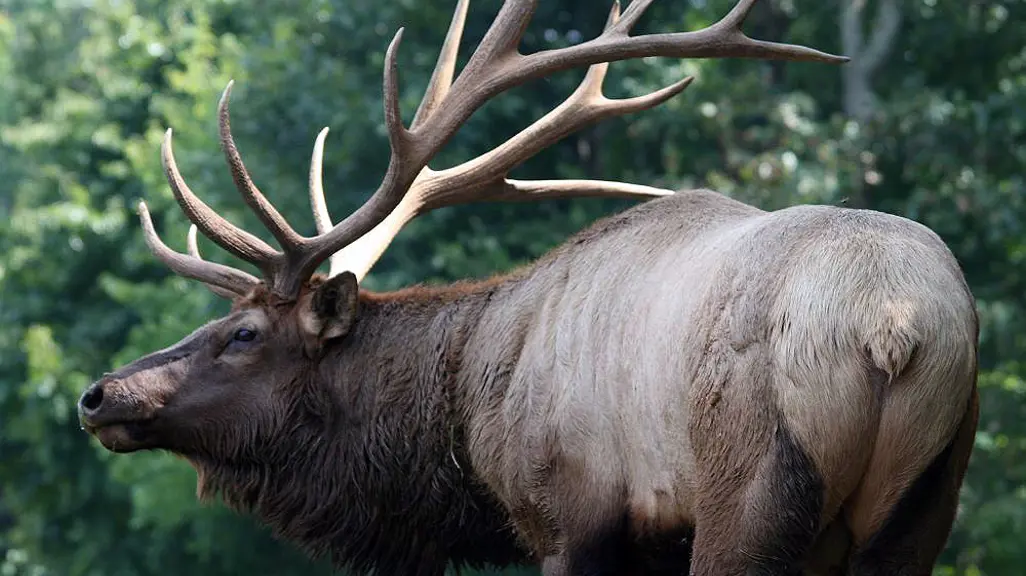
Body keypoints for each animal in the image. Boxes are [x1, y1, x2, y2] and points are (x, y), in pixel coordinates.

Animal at [77, 1, 980, 575]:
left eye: (244, 334)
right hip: (923, 503)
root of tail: (894, 325)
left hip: (753, 484)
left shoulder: (570, 516)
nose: (99, 393)